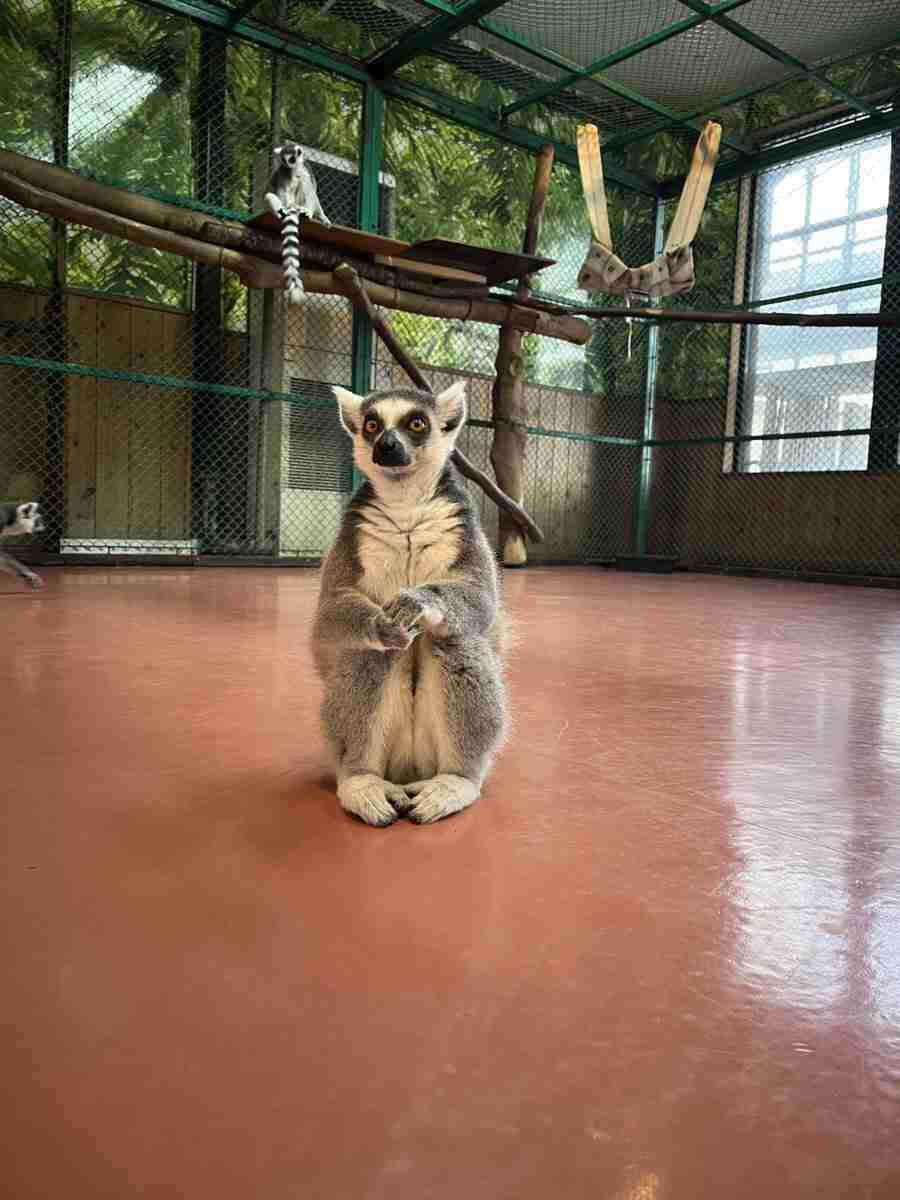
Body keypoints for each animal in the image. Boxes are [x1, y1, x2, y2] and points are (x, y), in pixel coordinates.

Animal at [264, 142, 331, 305]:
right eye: (284, 159)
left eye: (292, 158)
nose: (288, 164)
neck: (294, 169)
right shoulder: (282, 172)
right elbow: (281, 189)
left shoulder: (306, 168)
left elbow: (312, 190)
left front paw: (323, 217)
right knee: (270, 195)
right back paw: (281, 211)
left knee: (304, 182)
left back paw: (306, 211)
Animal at [311, 381, 509, 827]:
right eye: (371, 424)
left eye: (416, 423)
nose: (386, 445)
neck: (405, 502)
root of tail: (409, 772)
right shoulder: (352, 536)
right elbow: (330, 612)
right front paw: (380, 624)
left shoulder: (465, 533)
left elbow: (482, 602)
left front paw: (418, 602)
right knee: (367, 655)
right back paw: (361, 782)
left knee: (457, 641)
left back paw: (455, 782)